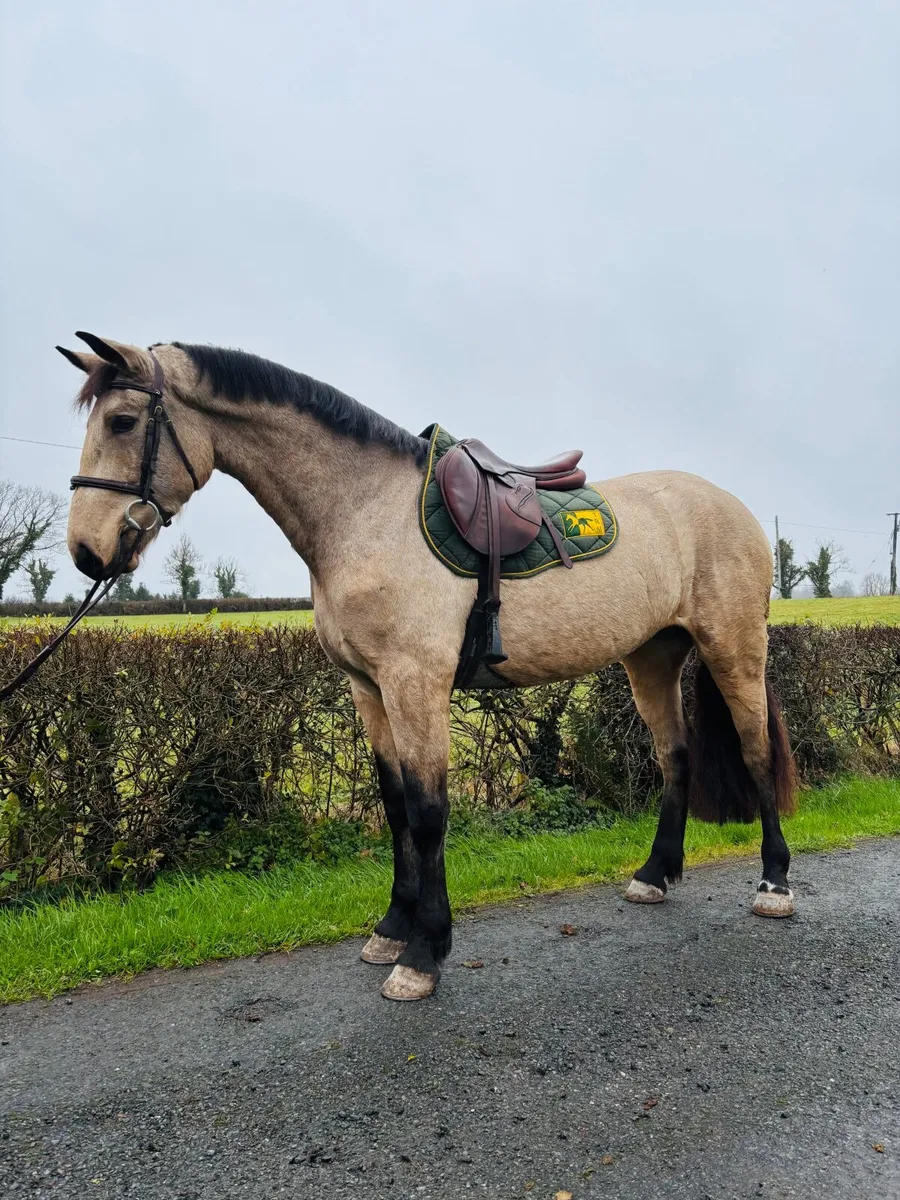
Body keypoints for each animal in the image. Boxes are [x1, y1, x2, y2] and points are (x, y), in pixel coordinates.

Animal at [60, 332, 797, 1002]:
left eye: (122, 421)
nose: (87, 552)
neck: (363, 513)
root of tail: (732, 506)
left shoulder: (416, 684)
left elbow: (428, 812)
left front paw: (423, 952)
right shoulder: (368, 689)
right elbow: (393, 808)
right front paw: (392, 927)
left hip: (734, 648)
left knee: (756, 751)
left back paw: (775, 882)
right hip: (652, 657)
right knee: (675, 756)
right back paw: (654, 874)